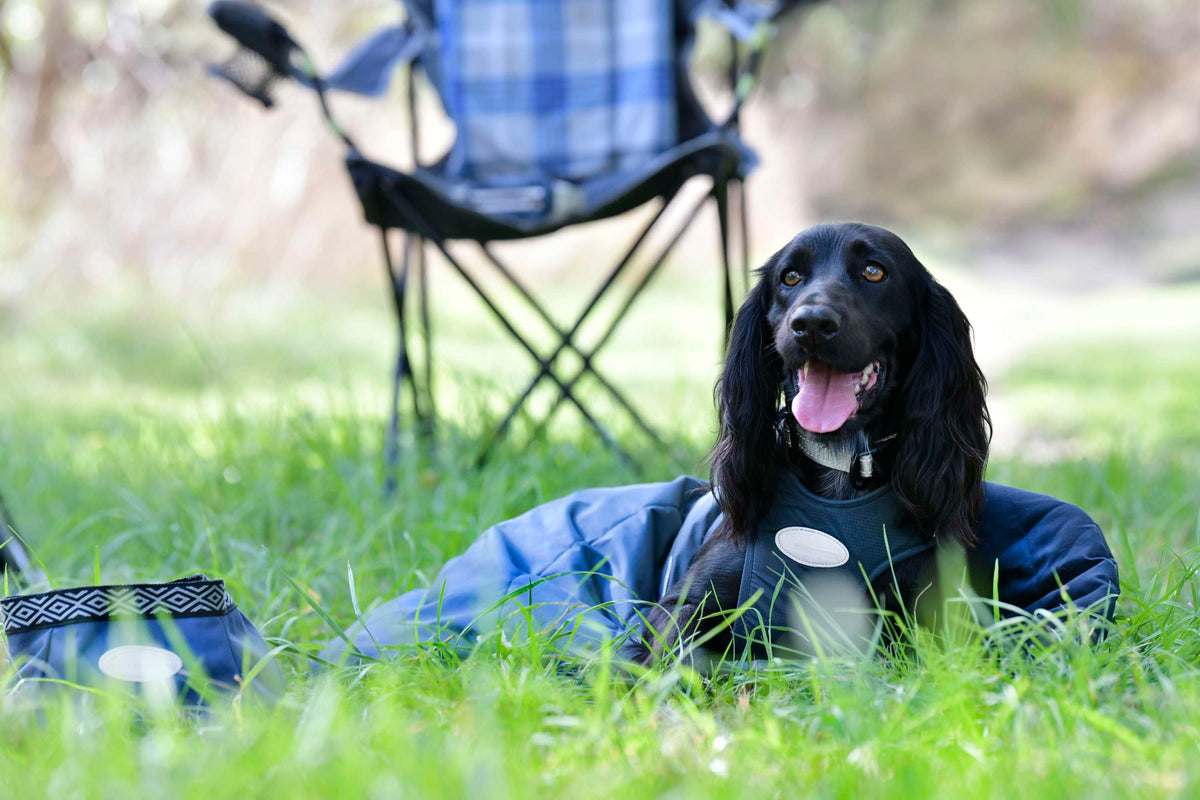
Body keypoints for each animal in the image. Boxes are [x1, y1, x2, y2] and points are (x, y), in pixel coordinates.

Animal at [633, 220, 988, 662]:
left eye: (874, 271)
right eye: (790, 277)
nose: (813, 324)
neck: (841, 462)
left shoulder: (926, 616)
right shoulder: (687, 602)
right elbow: (676, 654)